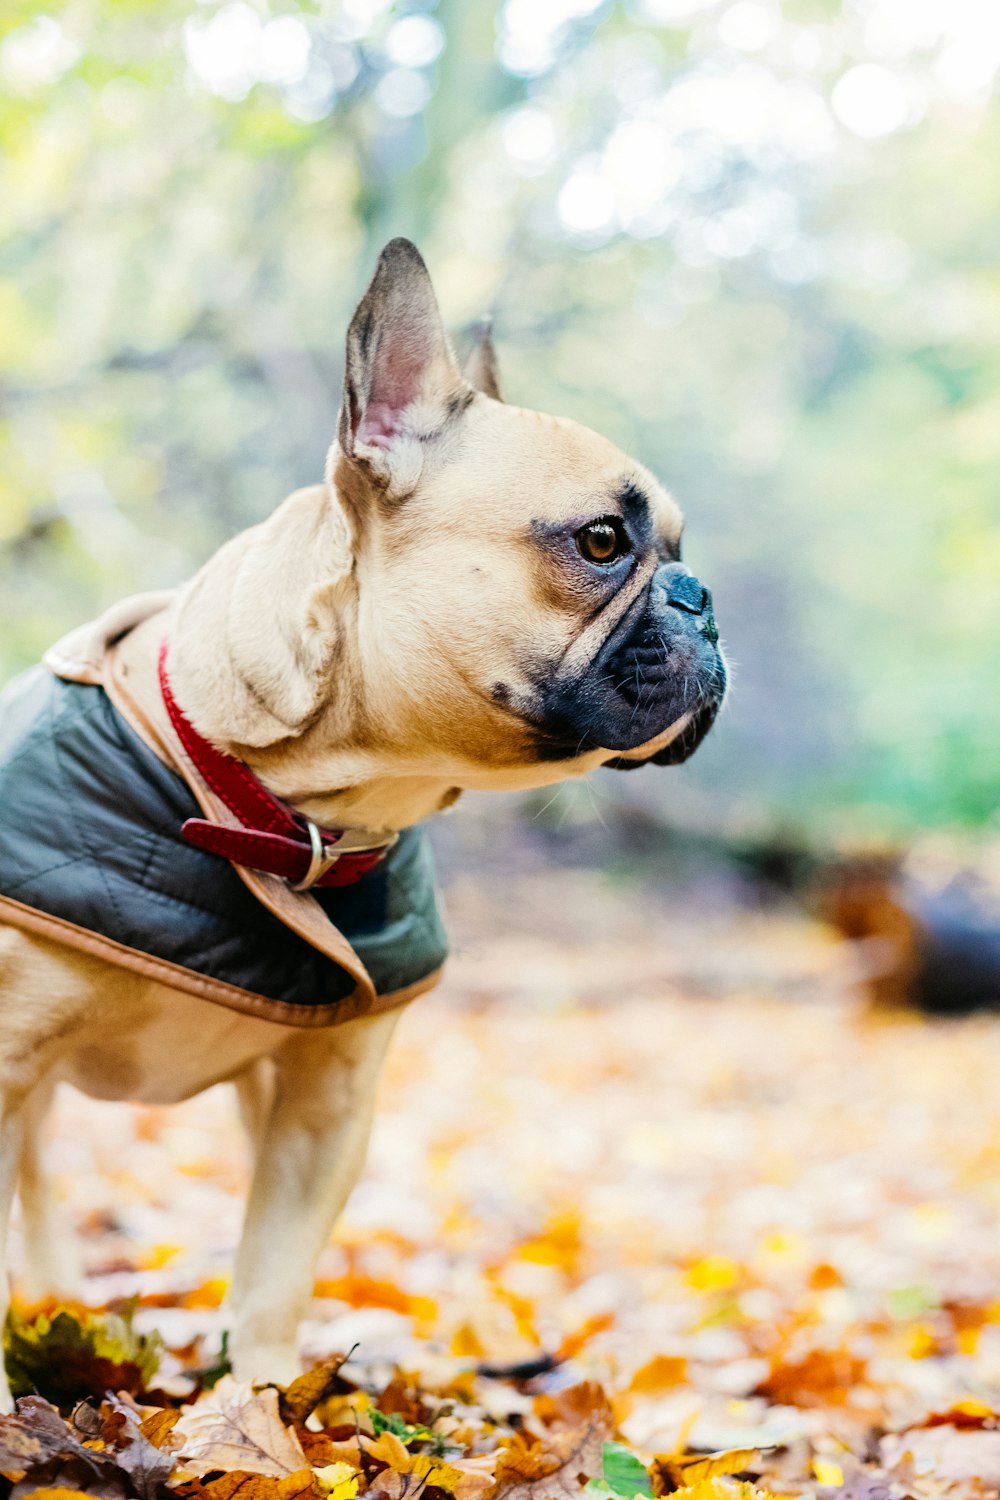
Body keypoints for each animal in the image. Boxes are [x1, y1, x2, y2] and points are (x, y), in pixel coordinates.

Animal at [0, 237, 728, 1404]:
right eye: (602, 541)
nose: (702, 598)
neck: (266, 810)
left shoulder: (323, 1102)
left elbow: (273, 1272)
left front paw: (261, 1408)